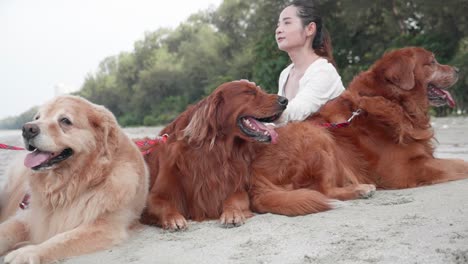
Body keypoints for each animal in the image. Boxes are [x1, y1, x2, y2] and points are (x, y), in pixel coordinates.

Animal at [0, 95, 148, 264]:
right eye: (37, 118)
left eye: (65, 120)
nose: (27, 129)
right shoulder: (27, 217)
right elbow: (6, 230)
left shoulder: (105, 226)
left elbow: (60, 239)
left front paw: (27, 252)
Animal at [139, 80, 288, 229]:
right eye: (249, 92)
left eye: (259, 90)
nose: (285, 100)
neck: (215, 150)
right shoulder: (154, 196)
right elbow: (164, 205)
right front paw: (173, 218)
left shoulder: (236, 188)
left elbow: (233, 200)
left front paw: (232, 213)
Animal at [250, 47, 468, 217]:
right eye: (433, 62)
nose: (458, 69)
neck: (394, 102)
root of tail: (254, 177)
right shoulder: (405, 169)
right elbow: (459, 163)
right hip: (316, 135)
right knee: (323, 190)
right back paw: (360, 190)